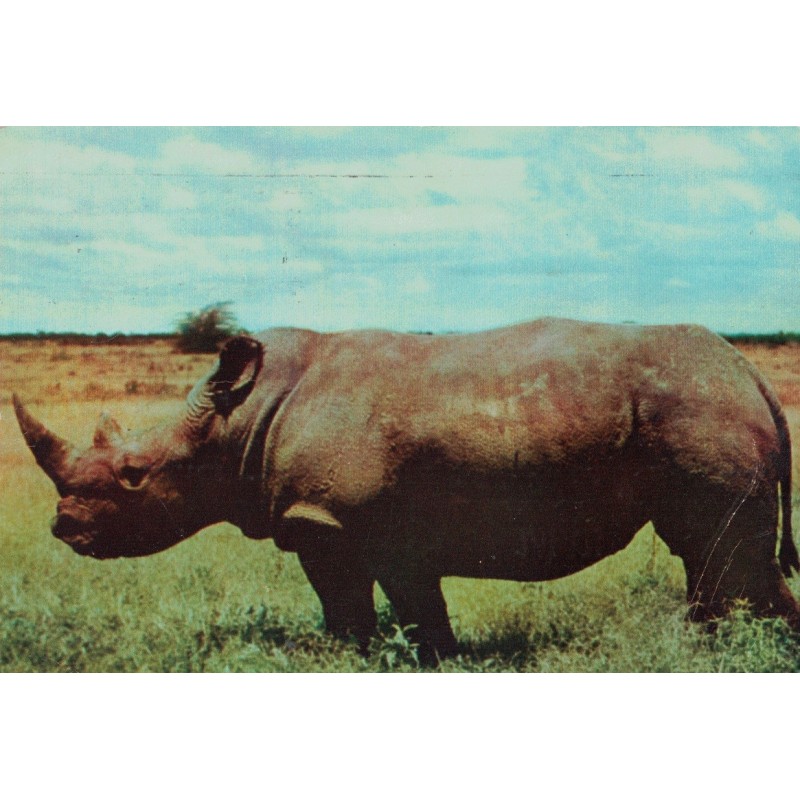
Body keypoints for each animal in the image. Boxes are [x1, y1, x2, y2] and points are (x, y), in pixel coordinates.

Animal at [13, 318, 800, 663]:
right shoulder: (377, 531)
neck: (235, 422)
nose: (65, 531)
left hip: (701, 414)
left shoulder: (332, 520)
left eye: (133, 477)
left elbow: (359, 606)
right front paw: (428, 658)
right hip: (704, 412)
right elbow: (405, 611)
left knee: (723, 556)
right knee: (708, 556)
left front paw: (356, 659)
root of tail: (750, 373)